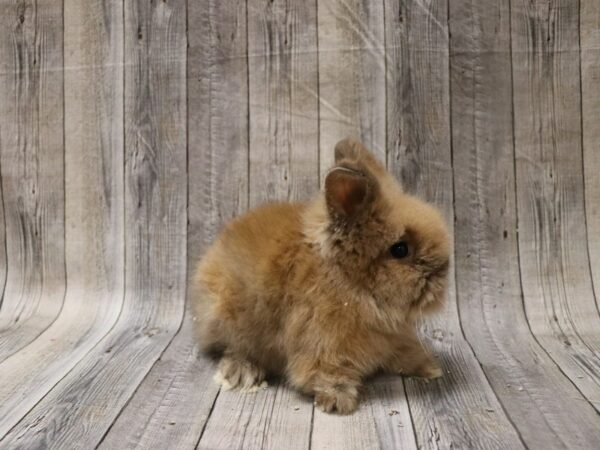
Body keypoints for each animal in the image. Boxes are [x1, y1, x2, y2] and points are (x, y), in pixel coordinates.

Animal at [192, 138, 450, 414]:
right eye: (400, 249)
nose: (443, 269)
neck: (349, 284)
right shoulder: (321, 346)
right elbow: (325, 374)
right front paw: (339, 401)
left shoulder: (394, 340)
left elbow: (406, 353)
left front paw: (431, 369)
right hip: (226, 318)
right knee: (234, 348)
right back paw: (242, 373)